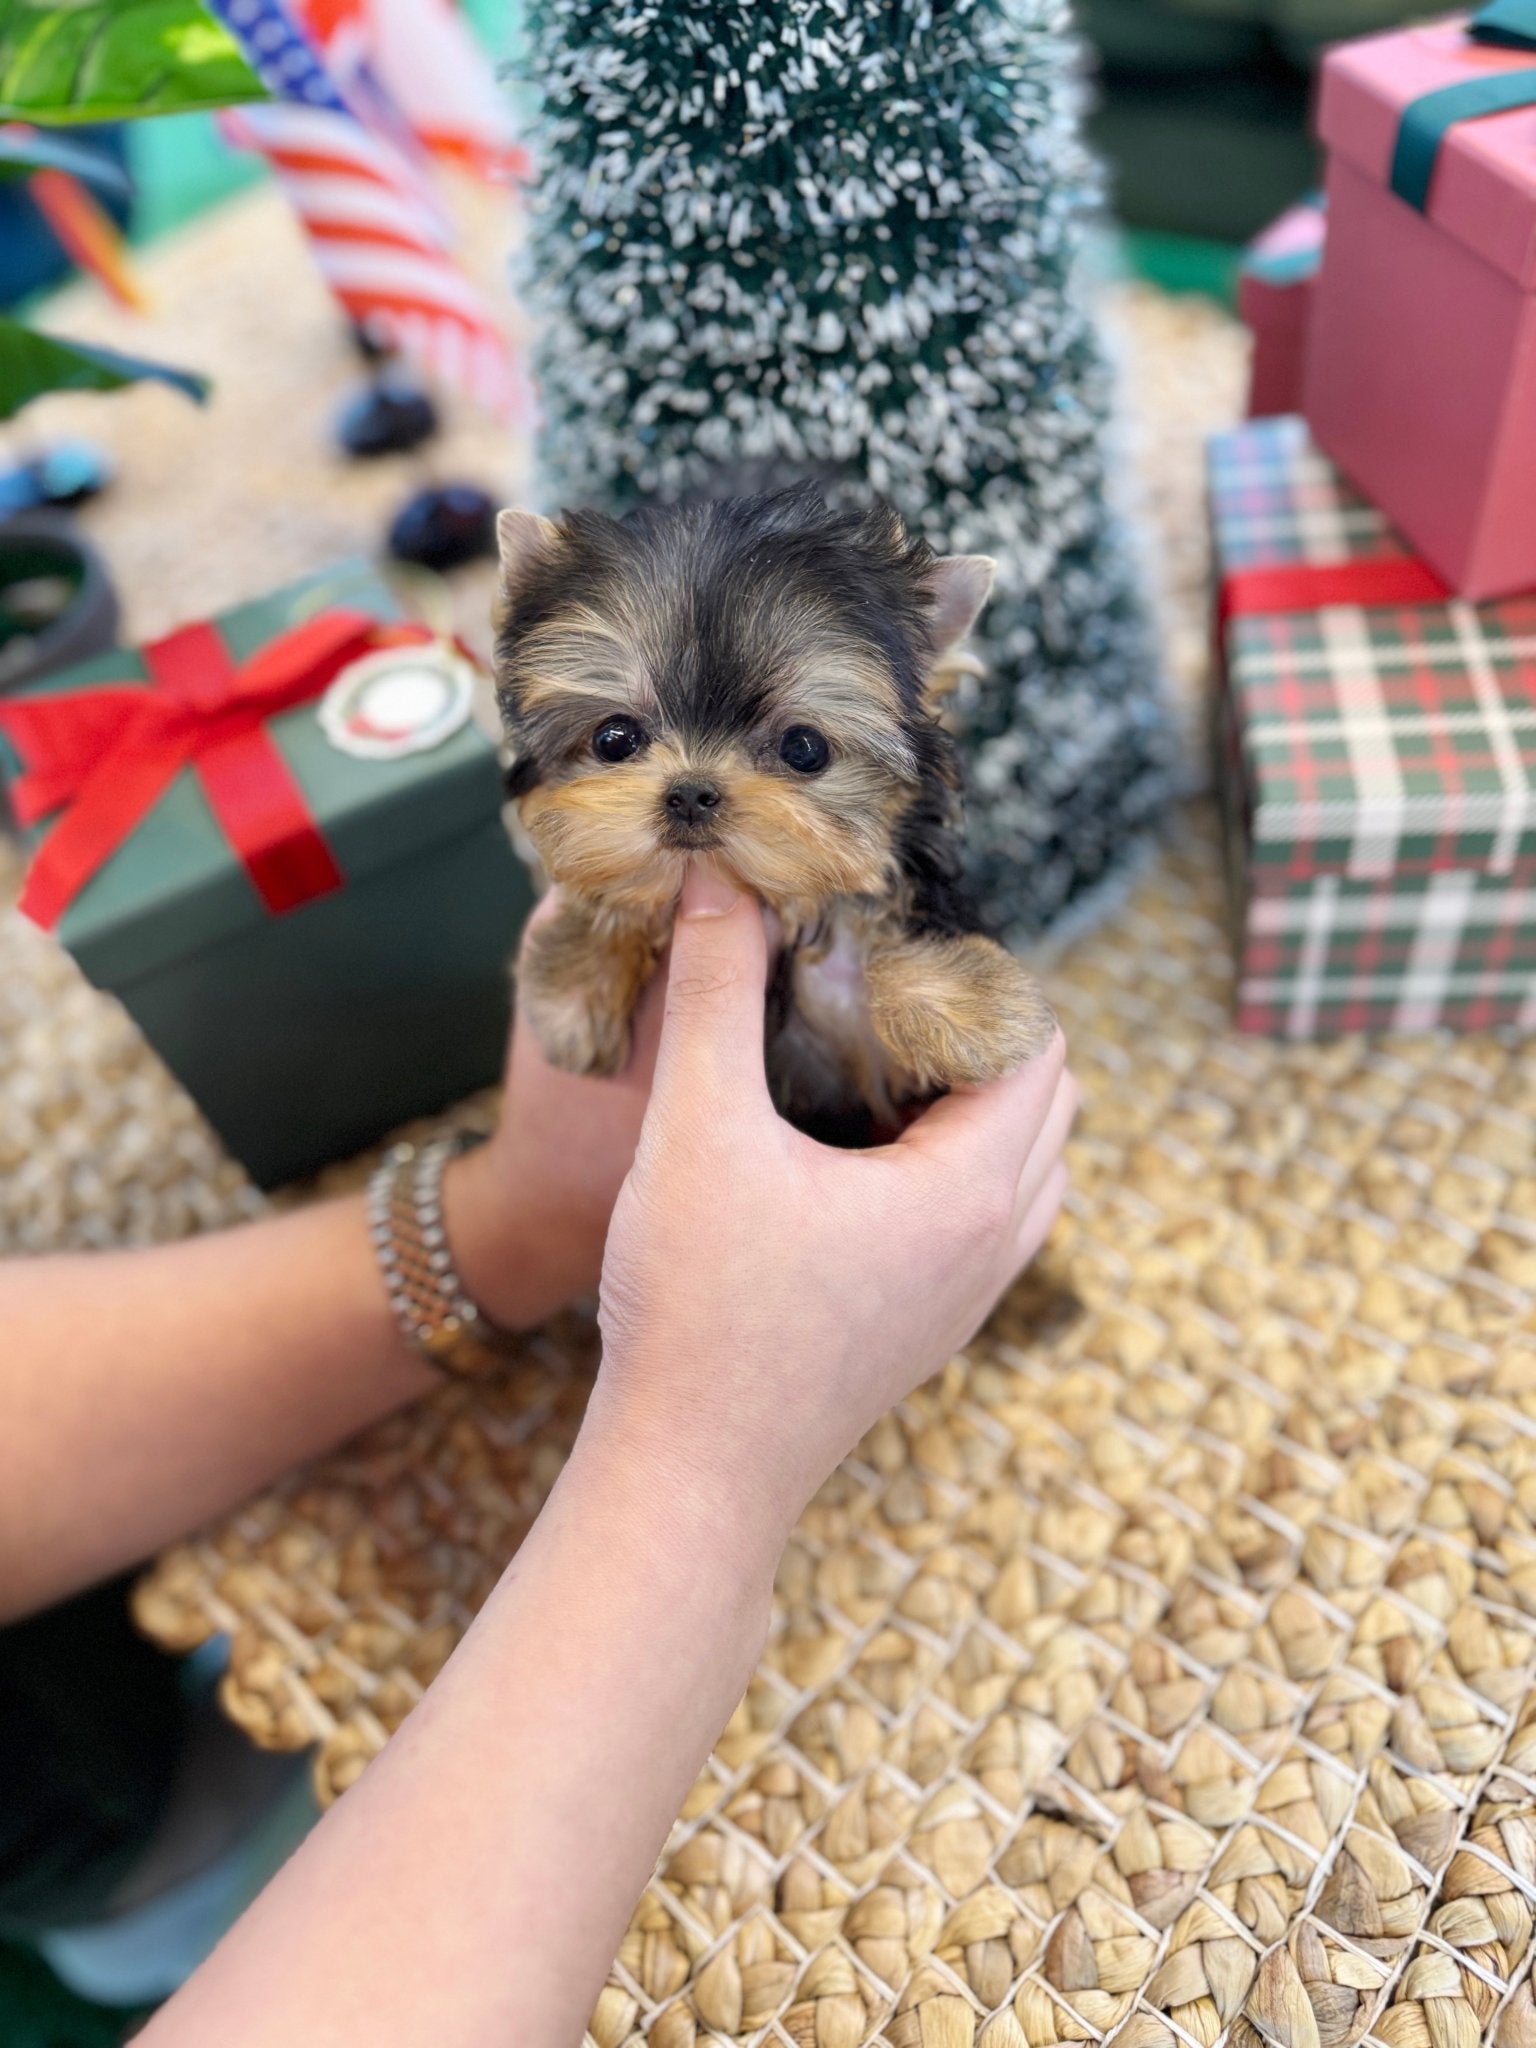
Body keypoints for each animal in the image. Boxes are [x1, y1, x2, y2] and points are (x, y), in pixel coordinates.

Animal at [499, 489, 1056, 1146]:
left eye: (804, 748)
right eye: (614, 739)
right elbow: (607, 881)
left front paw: (965, 1007)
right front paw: (572, 985)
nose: (691, 794)